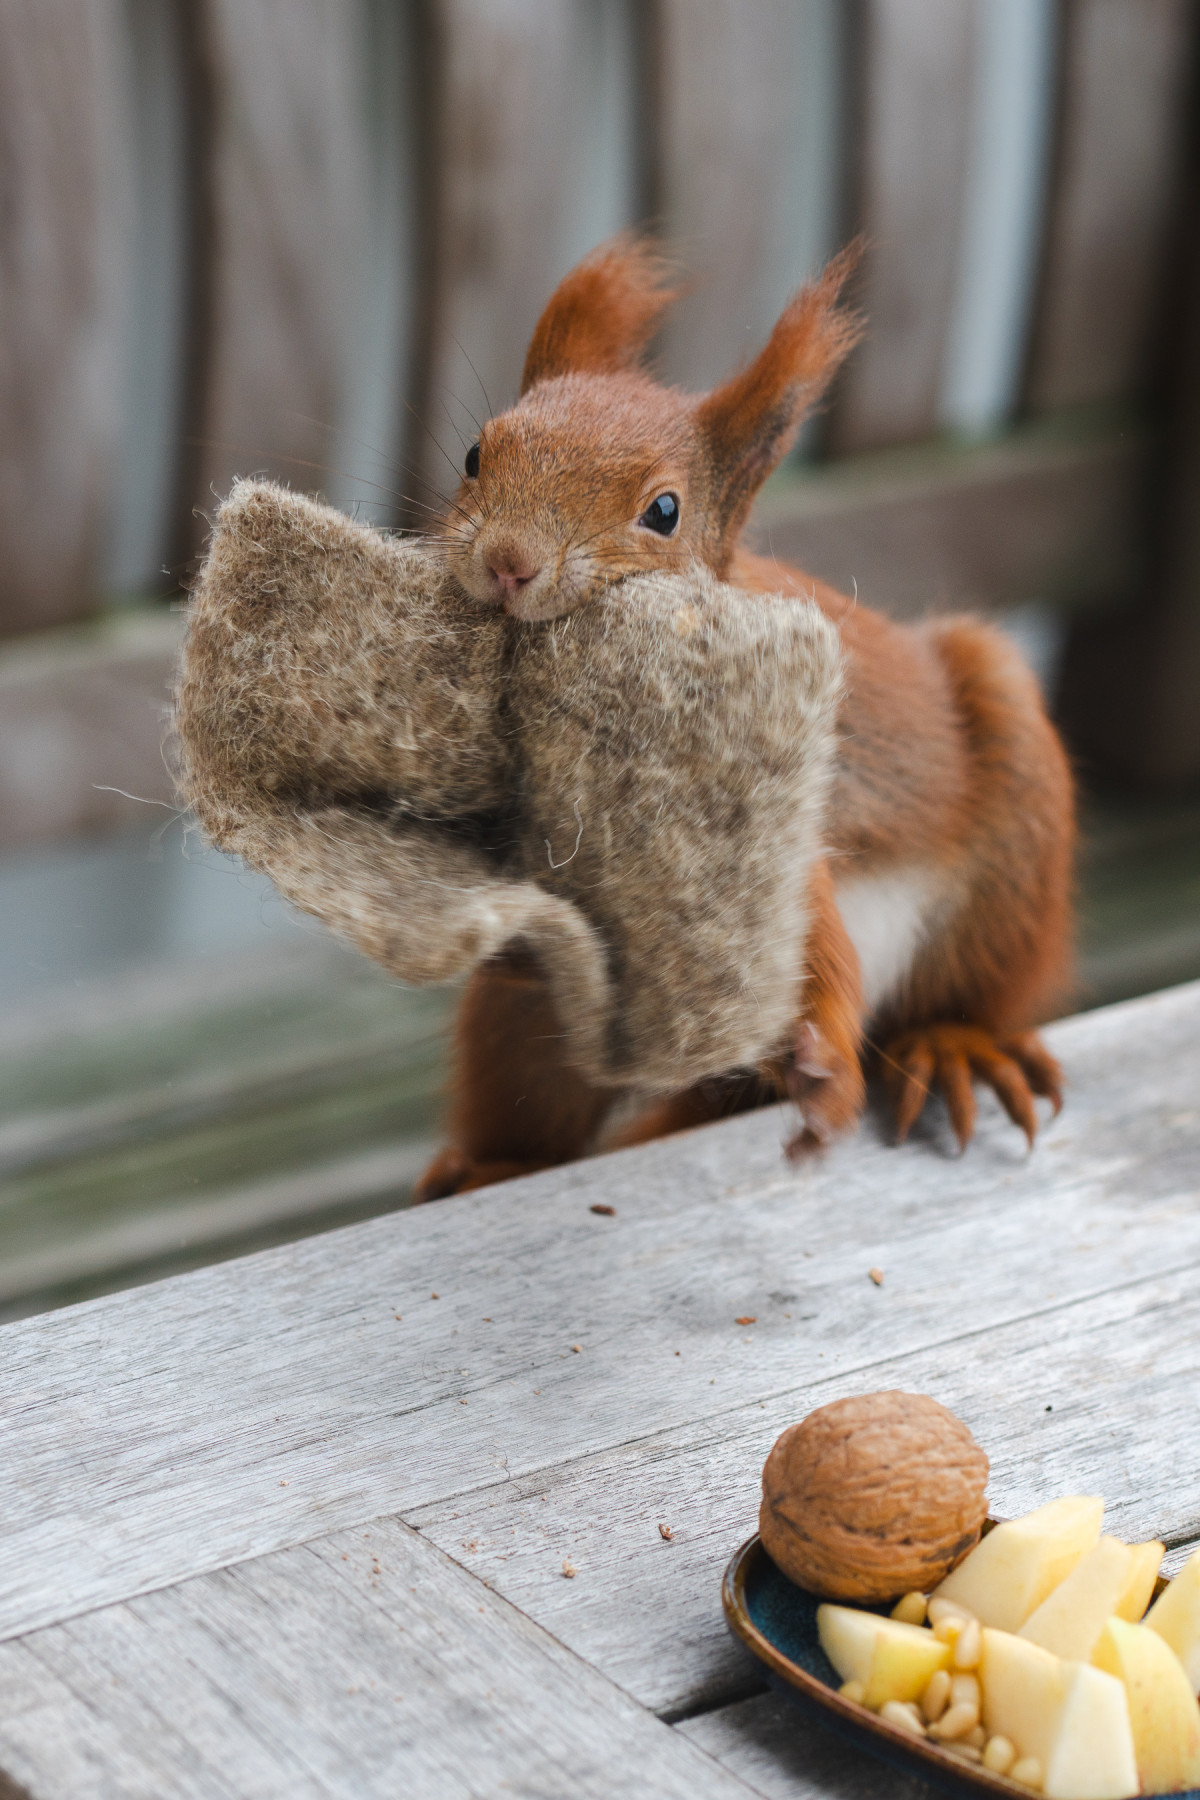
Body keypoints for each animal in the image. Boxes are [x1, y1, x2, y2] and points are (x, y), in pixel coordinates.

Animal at [415, 235, 1079, 1195]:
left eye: (664, 511)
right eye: (474, 456)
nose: (509, 562)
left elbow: (816, 959)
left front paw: (820, 1070)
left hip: (1012, 830)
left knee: (975, 985)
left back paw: (953, 1045)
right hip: (528, 1042)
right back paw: (493, 1165)